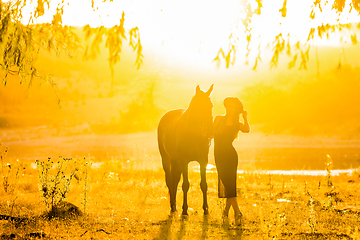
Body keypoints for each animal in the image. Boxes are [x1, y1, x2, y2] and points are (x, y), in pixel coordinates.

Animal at [158, 85, 214, 216]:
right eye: (199, 106)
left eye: (211, 105)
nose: (211, 130)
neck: (194, 134)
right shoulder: (184, 162)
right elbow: (185, 185)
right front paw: (184, 210)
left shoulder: (203, 161)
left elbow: (204, 185)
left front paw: (206, 209)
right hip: (166, 159)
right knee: (169, 181)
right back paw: (173, 207)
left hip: (175, 161)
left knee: (174, 181)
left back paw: (174, 206)